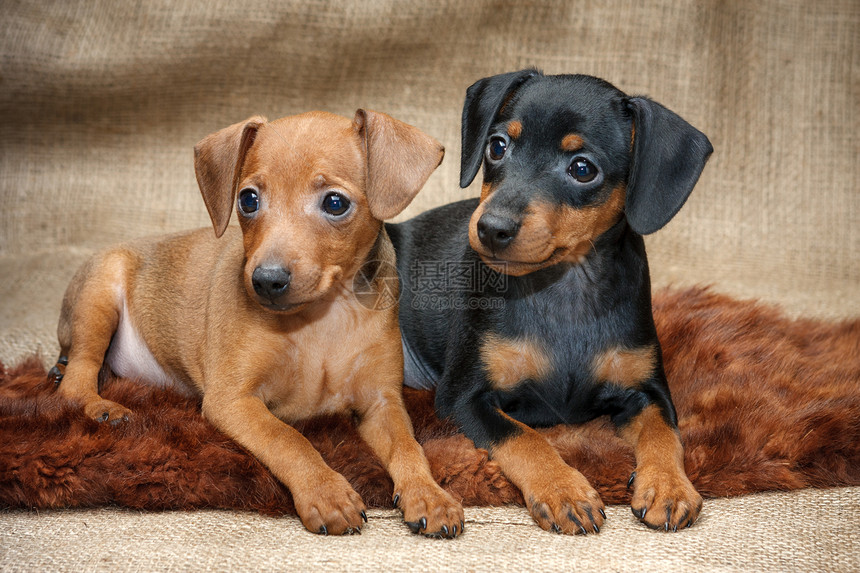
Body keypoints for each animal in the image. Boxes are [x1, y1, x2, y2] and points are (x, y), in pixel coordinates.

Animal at [48, 110, 464, 536]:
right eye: (248, 200)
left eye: (335, 203)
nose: (265, 280)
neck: (322, 319)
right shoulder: (233, 401)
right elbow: (288, 438)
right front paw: (327, 492)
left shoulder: (381, 403)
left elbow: (409, 446)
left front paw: (429, 494)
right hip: (99, 295)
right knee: (77, 376)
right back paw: (100, 406)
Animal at [388, 70, 712, 532]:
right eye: (497, 146)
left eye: (582, 169)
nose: (491, 227)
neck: (565, 289)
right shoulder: (462, 398)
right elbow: (525, 437)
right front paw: (564, 490)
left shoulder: (647, 391)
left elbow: (664, 432)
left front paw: (668, 486)